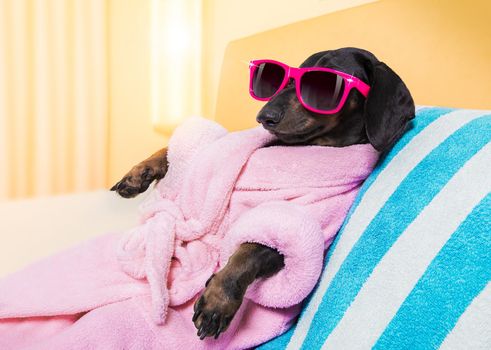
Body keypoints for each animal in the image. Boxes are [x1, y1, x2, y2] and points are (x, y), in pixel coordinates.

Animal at [111, 47, 416, 340]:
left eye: (324, 84)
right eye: (286, 79)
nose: (264, 116)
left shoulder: (298, 229)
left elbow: (250, 250)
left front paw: (218, 298)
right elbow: (174, 151)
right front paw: (139, 172)